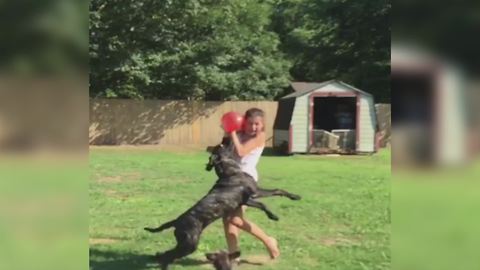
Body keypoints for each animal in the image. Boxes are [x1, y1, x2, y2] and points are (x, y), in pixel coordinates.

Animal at [143, 138, 300, 268]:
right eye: (222, 145)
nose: (226, 137)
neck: (230, 171)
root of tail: (176, 221)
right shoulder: (255, 193)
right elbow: (271, 196)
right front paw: (274, 216)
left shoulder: (246, 200)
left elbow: (271, 197)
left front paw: (294, 197)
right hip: (189, 244)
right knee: (169, 255)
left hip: (184, 244)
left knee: (167, 254)